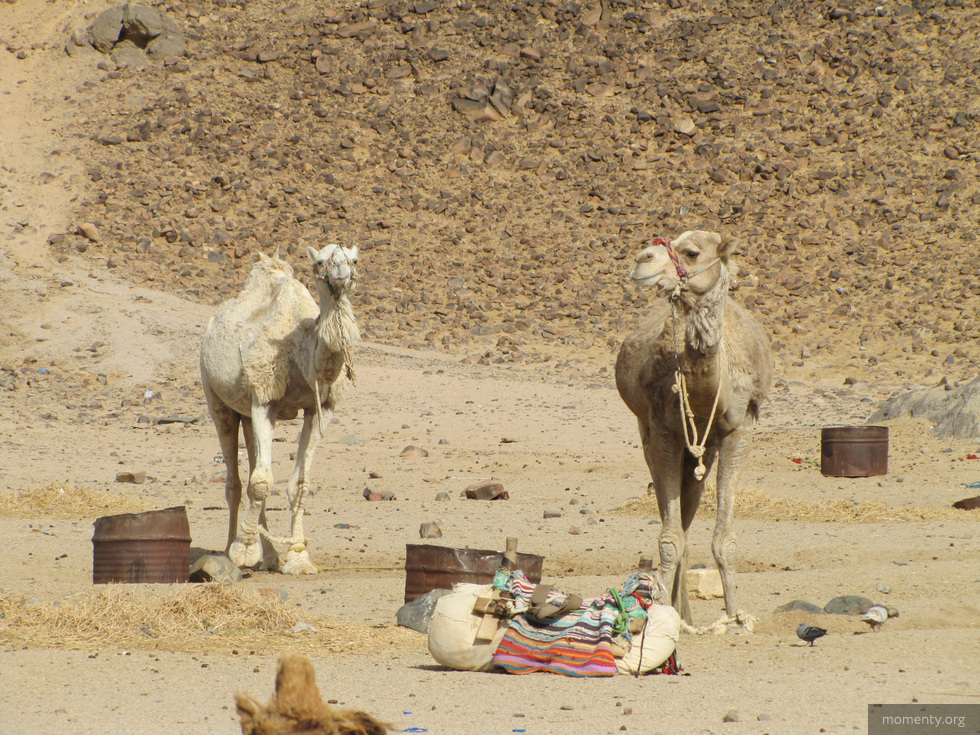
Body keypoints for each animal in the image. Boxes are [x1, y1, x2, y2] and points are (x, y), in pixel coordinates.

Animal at [203, 246, 360, 576]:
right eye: (320, 261)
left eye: (354, 260)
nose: (341, 272)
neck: (302, 351)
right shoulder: (265, 400)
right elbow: (261, 483)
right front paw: (244, 550)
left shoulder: (321, 408)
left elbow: (299, 484)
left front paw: (299, 557)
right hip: (217, 399)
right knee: (235, 482)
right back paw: (230, 548)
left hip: (246, 412)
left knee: (251, 464)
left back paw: (272, 556)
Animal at [616, 230, 768, 628]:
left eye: (692, 252)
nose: (642, 260)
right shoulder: (663, 432)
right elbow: (669, 539)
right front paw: (660, 612)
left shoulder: (738, 432)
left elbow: (724, 539)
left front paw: (734, 616)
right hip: (648, 434)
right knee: (676, 522)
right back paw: (678, 610)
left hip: (705, 450)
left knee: (688, 513)